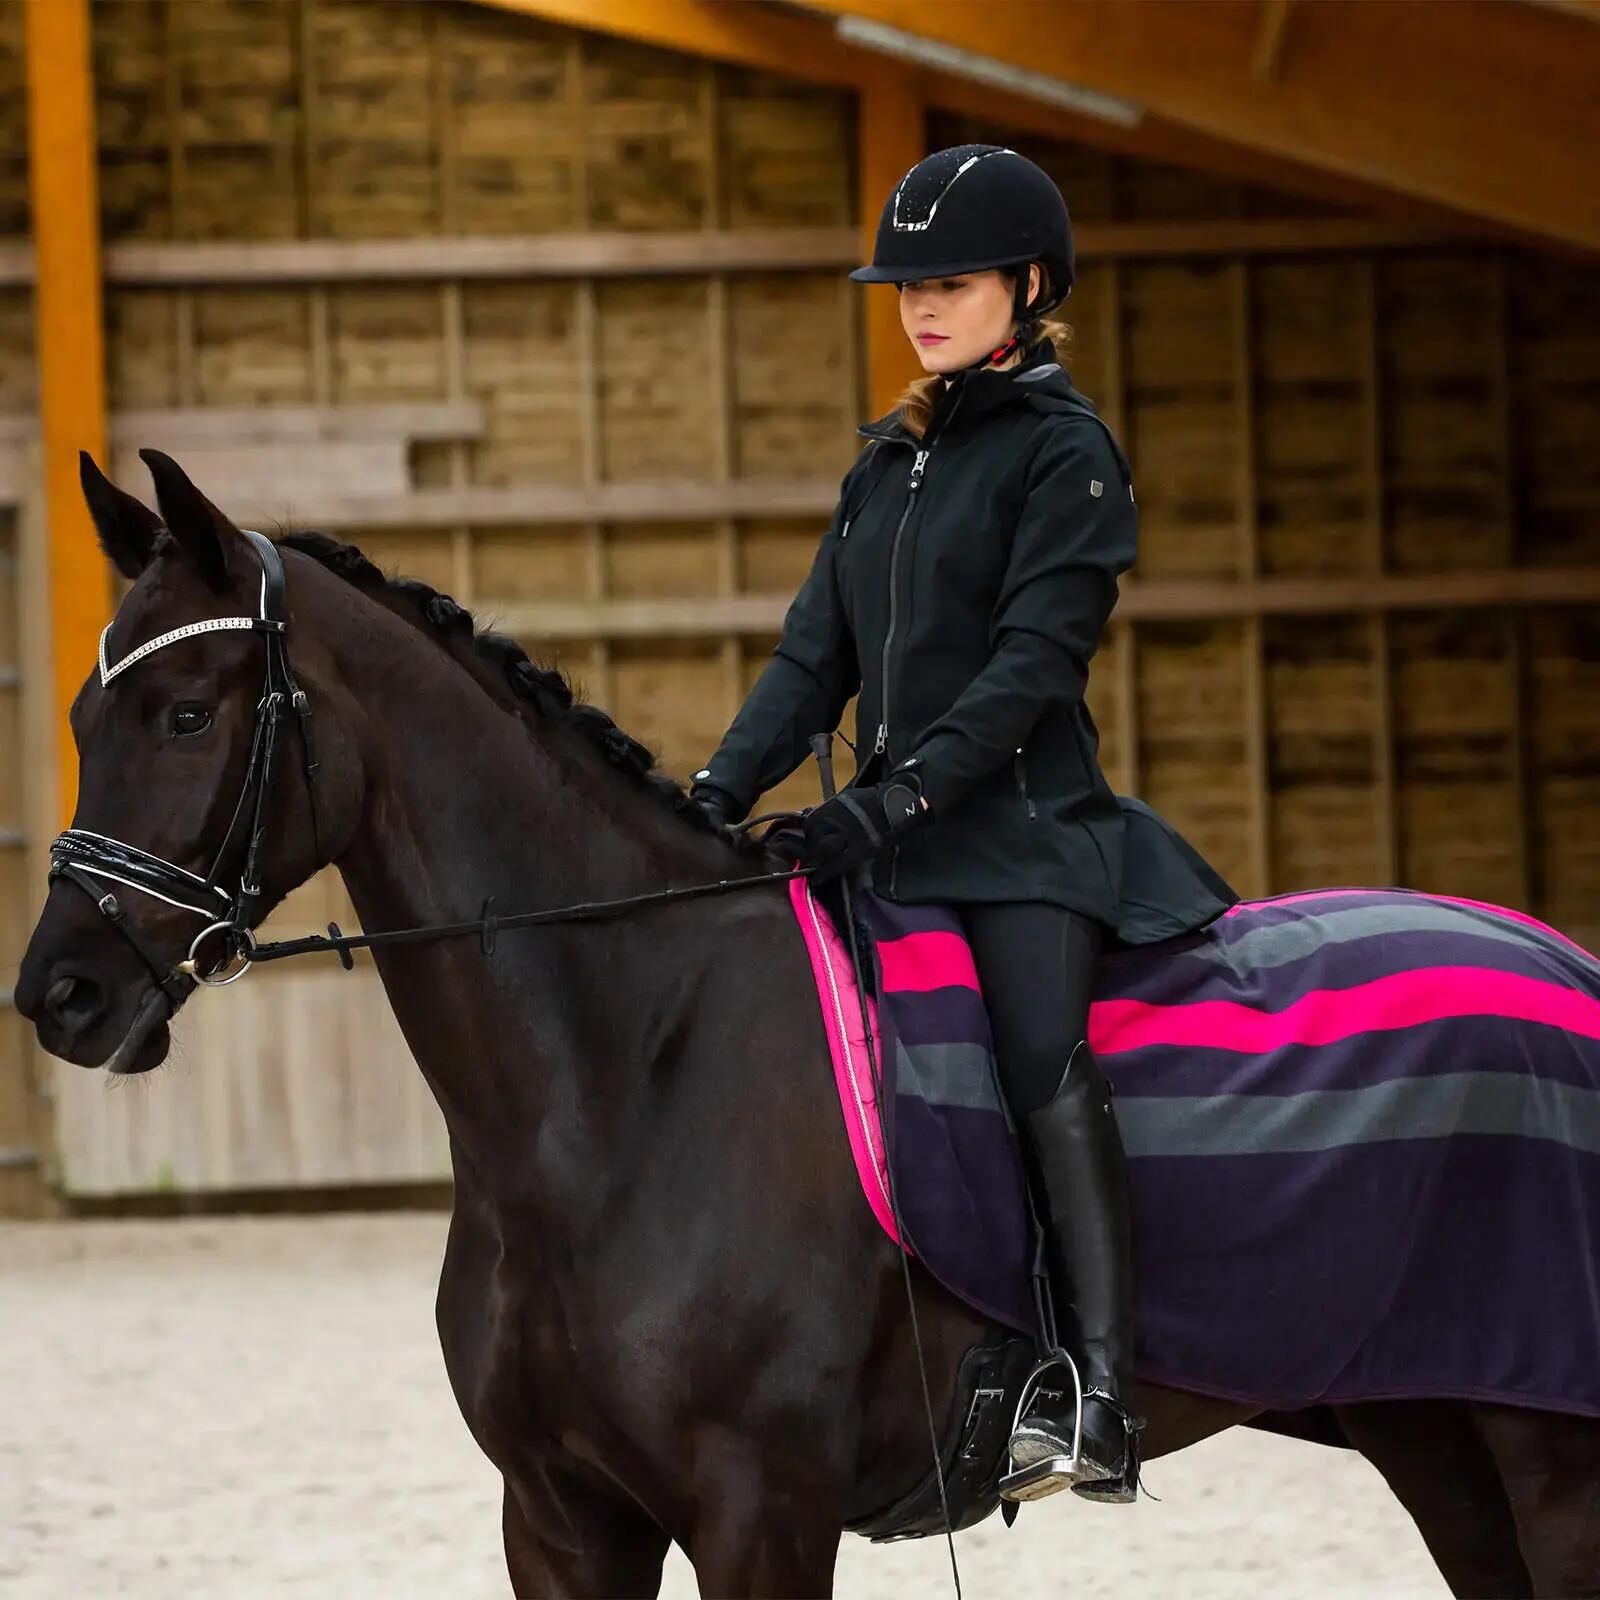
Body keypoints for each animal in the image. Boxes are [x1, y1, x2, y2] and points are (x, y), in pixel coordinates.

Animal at [16, 449, 1600, 1599]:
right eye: (86, 717)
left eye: (185, 713)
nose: (59, 995)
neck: (623, 1084)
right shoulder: (560, 1519)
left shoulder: (759, 1515)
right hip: (1433, 1433)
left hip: (1548, 1456)